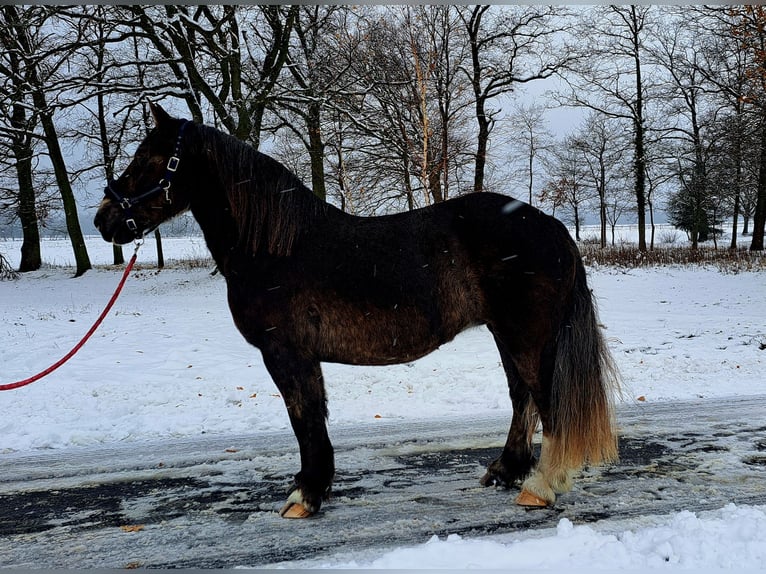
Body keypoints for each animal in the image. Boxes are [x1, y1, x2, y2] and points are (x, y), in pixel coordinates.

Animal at [95, 103, 619, 519]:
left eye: (148, 160)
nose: (103, 220)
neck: (276, 248)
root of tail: (550, 225)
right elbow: (312, 418)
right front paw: (314, 487)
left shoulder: (285, 353)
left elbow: (304, 420)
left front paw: (305, 496)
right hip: (505, 332)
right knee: (521, 397)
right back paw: (507, 471)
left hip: (526, 334)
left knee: (546, 401)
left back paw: (540, 487)